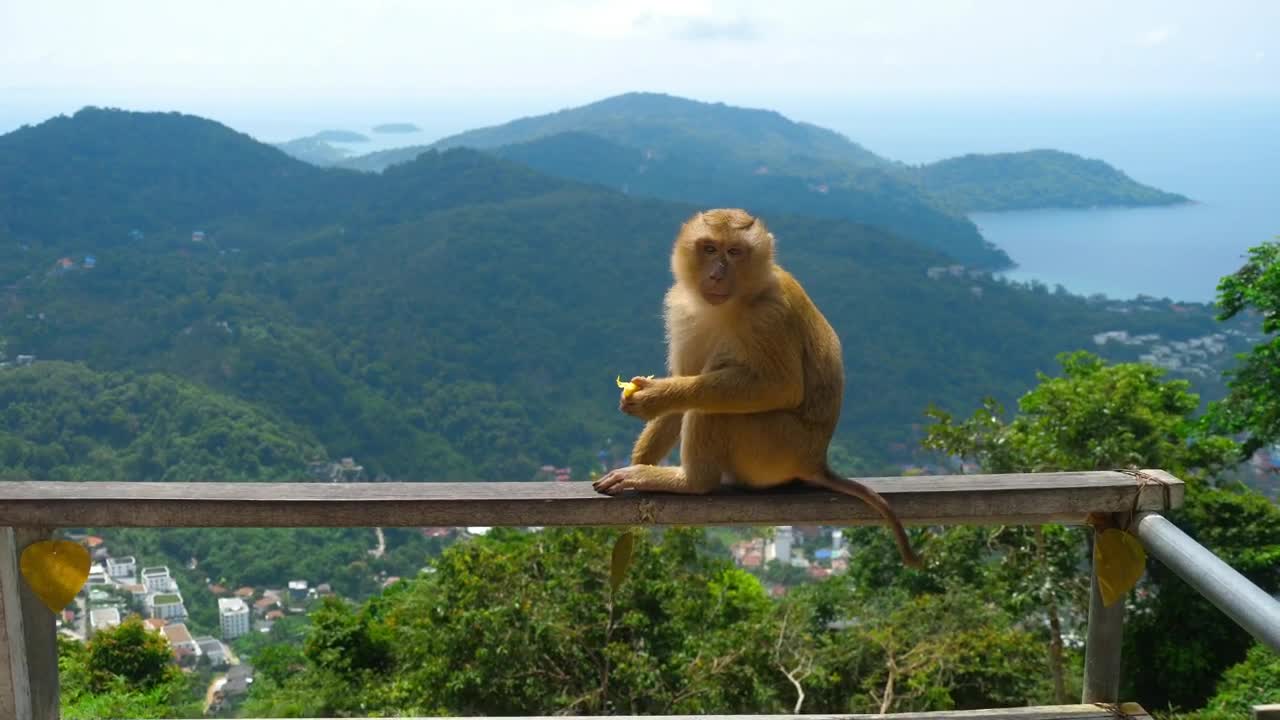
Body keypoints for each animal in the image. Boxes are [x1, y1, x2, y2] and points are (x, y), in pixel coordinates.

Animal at [593, 208, 922, 568]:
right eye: (710, 248)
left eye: (735, 252)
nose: (717, 274)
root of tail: (815, 461)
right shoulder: (683, 310)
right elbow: (684, 378)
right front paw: (642, 458)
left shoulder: (768, 316)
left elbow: (781, 387)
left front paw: (652, 399)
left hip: (776, 447)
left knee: (715, 405)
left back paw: (691, 482)